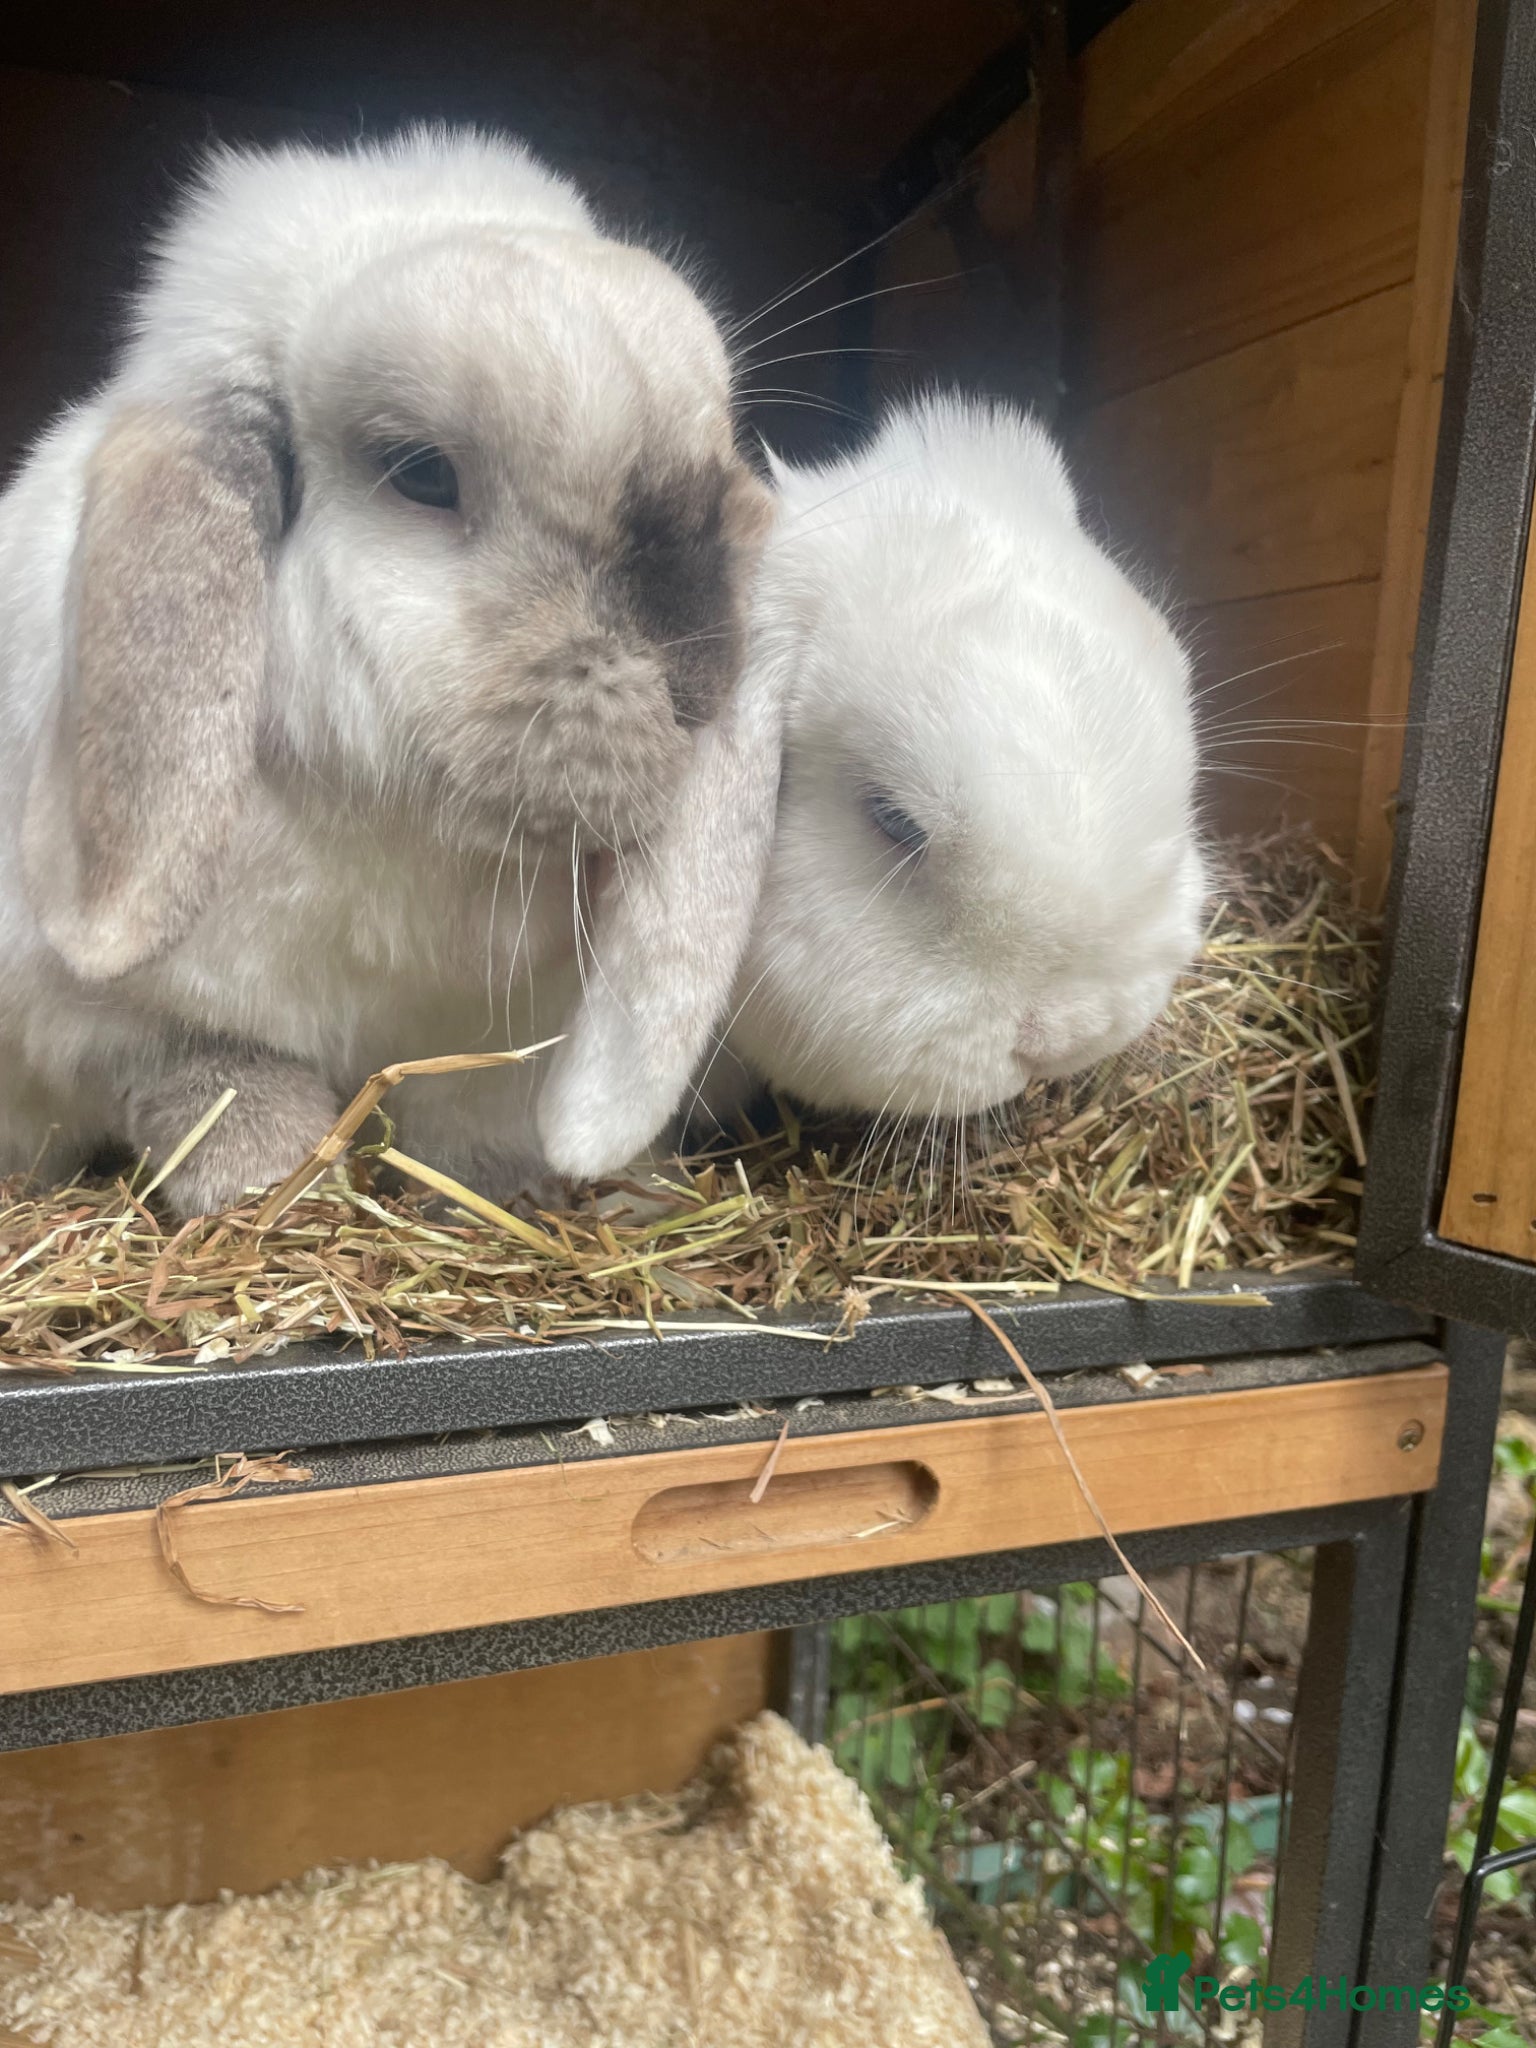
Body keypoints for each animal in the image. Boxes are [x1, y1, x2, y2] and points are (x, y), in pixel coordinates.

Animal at [0, 126, 778, 1216]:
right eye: (422, 472)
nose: (700, 681)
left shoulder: (496, 1058)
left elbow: (482, 1134)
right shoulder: (113, 1025)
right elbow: (209, 1069)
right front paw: (269, 1174)